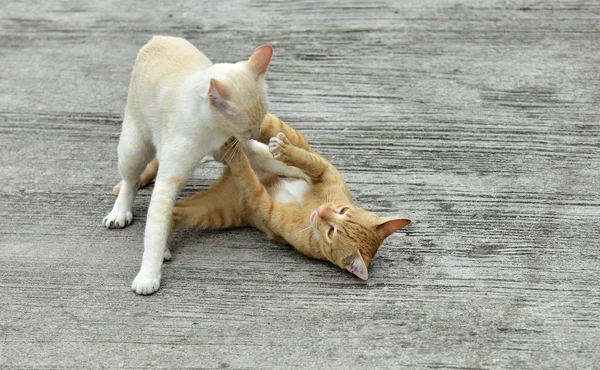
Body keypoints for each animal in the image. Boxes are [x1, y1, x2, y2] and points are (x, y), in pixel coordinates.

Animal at [103, 35, 272, 294]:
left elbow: (267, 156)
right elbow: (156, 229)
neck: (210, 132)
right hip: (133, 146)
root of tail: (158, 37)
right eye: (247, 127)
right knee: (130, 182)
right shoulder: (167, 182)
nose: (257, 132)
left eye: (261, 120)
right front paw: (148, 275)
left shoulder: (229, 147)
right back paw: (120, 212)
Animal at [130, 114, 412, 278]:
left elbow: (249, 180)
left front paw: (239, 160)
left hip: (215, 213)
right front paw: (284, 153)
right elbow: (307, 161)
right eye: (342, 211)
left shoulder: (264, 207)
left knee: (175, 212)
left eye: (332, 232)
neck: (311, 207)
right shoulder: (323, 171)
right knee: (269, 126)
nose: (322, 212)